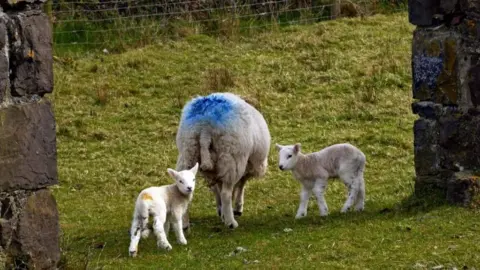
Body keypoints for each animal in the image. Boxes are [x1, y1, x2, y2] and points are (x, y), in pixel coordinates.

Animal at [174, 92, 270, 228]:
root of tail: (205, 125)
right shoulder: (249, 164)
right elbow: (241, 184)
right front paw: (237, 208)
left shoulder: (214, 172)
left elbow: (217, 188)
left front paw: (222, 211)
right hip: (232, 157)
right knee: (226, 193)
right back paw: (231, 222)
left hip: (188, 151)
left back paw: (185, 224)